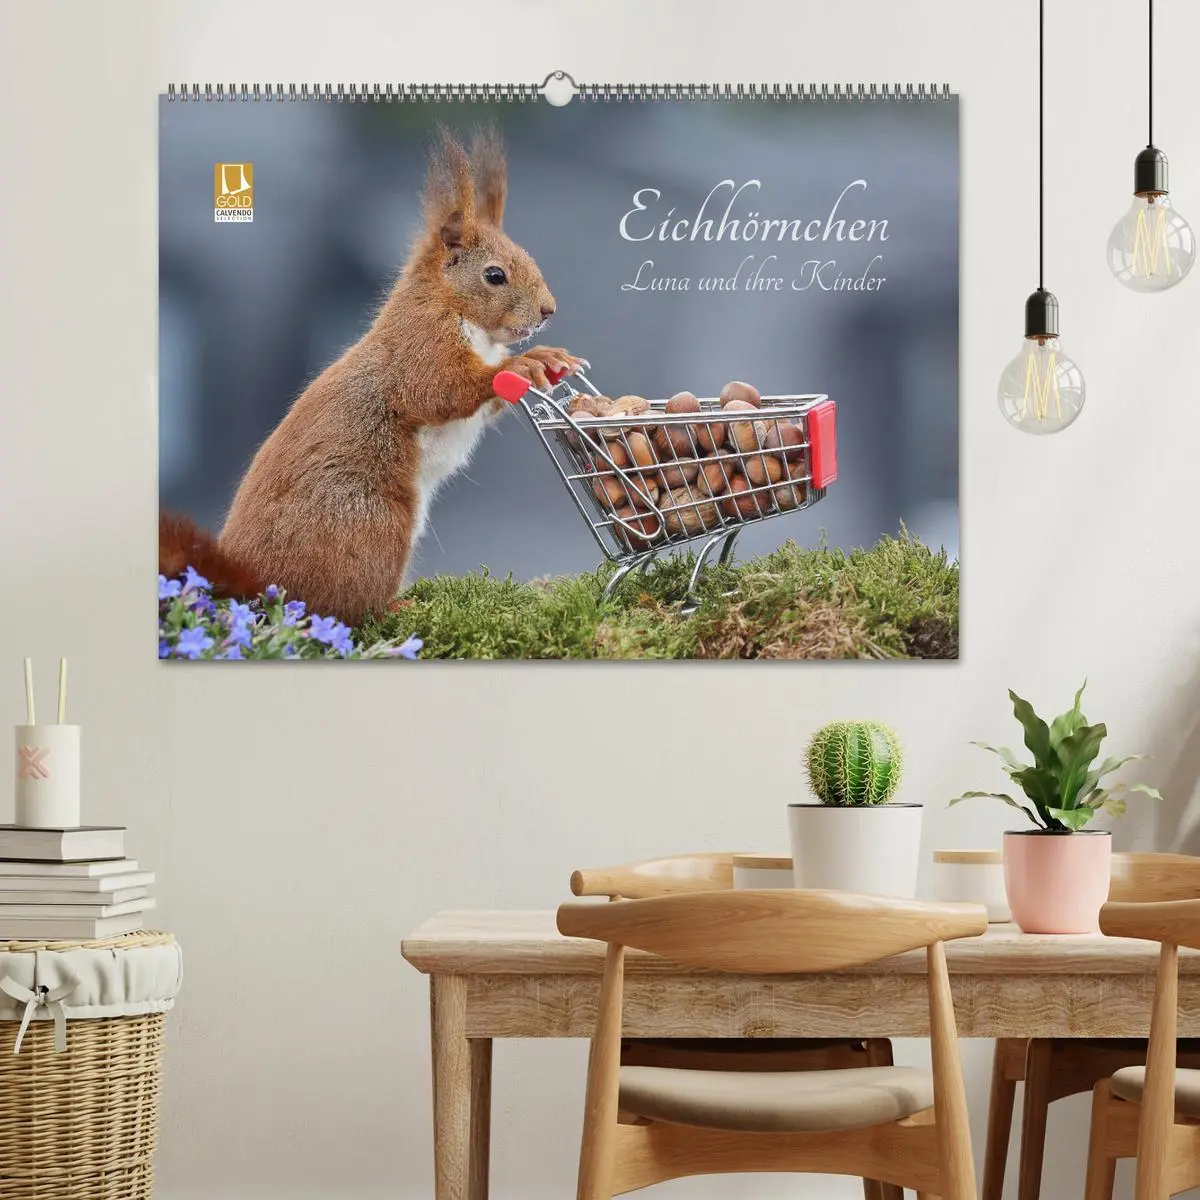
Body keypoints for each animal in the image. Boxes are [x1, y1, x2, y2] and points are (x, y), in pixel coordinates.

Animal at [159, 127, 583, 626]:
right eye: (494, 275)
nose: (548, 311)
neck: (461, 315)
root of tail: (255, 583)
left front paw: (549, 358)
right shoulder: (420, 346)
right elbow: (438, 390)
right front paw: (522, 364)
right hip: (371, 523)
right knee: (346, 608)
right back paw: (395, 606)